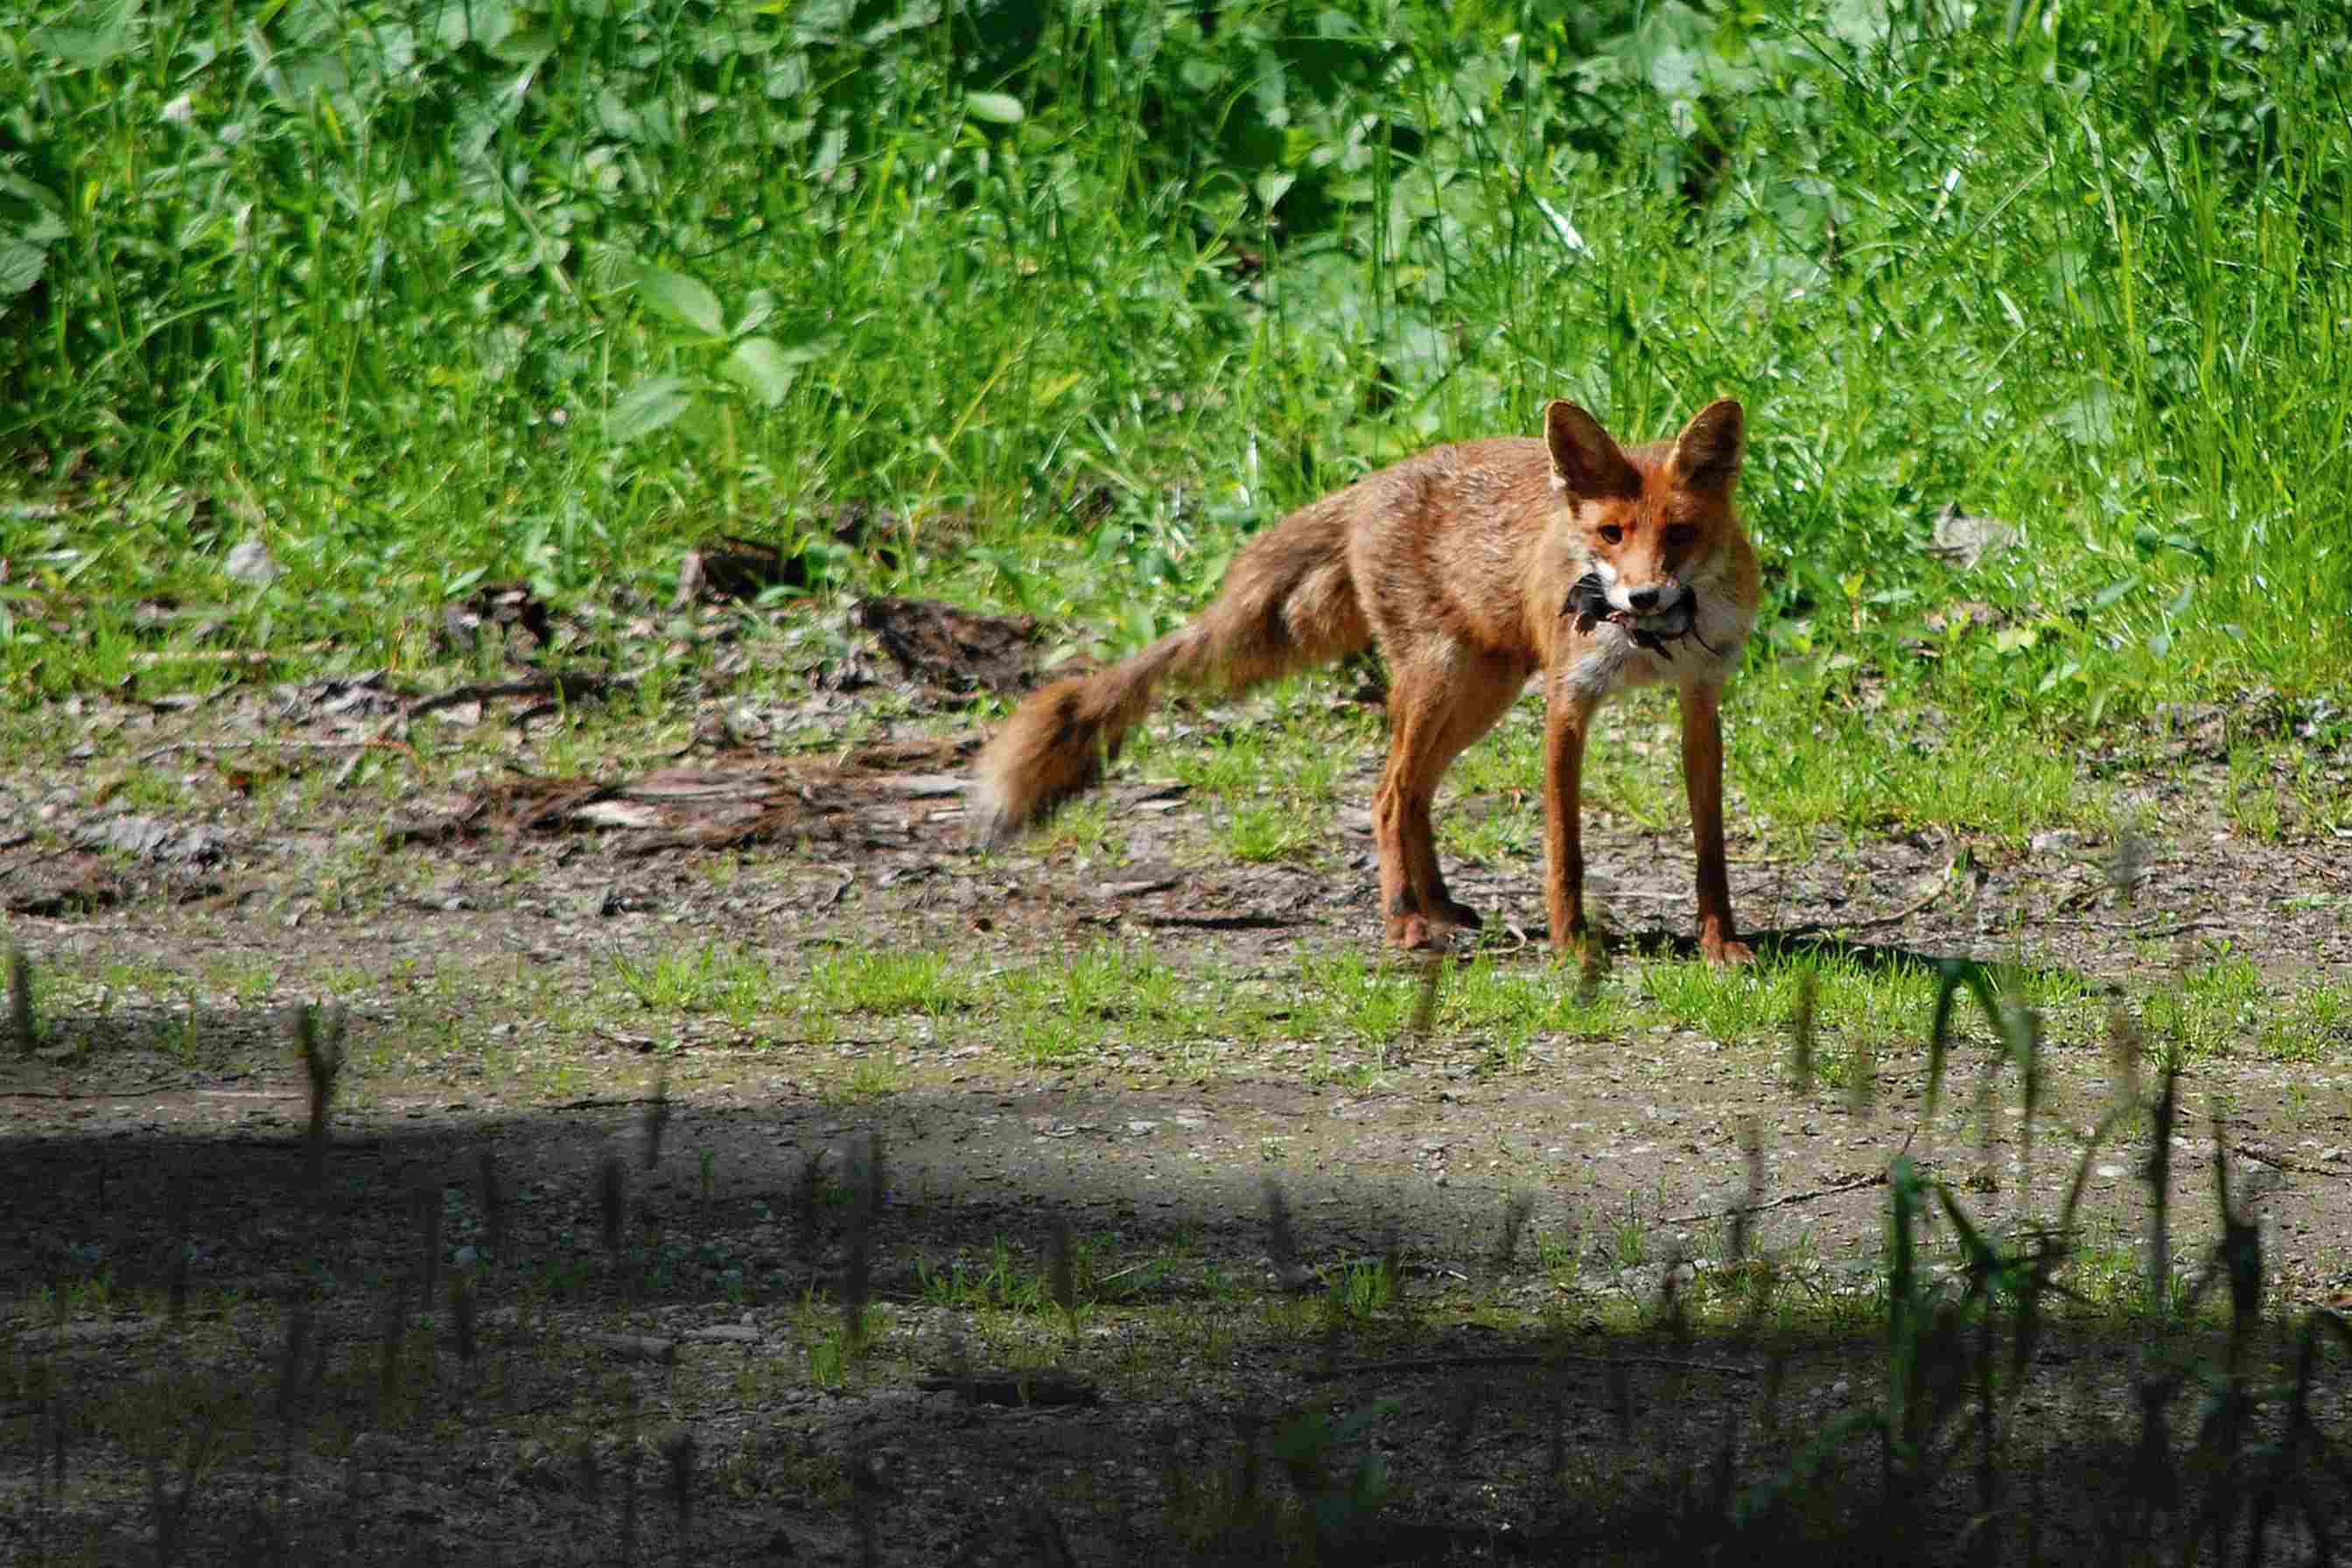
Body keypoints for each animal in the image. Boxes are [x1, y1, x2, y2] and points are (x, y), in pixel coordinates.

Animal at [964, 399, 1759, 963]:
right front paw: (1571, 945)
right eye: (1611, 534)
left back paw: (1437, 906)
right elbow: (1565, 850)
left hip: (1480, 693)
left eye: (1680, 533)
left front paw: (1720, 942)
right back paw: (1404, 920)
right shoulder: (1569, 703)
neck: (1651, 649)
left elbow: (1710, 848)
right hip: (1441, 681)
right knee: (1387, 793)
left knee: (1416, 793)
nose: (1644, 599)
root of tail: (1370, 484)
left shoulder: (1701, 701)